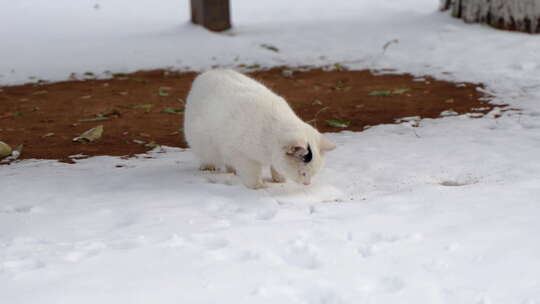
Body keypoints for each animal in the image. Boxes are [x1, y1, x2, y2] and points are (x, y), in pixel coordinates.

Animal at [186, 69, 338, 189]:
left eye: (313, 173)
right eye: (303, 173)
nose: (307, 184)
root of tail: (207, 73)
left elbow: (276, 168)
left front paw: (279, 179)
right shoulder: (243, 156)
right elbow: (252, 173)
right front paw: (258, 186)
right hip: (202, 143)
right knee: (207, 156)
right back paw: (209, 166)